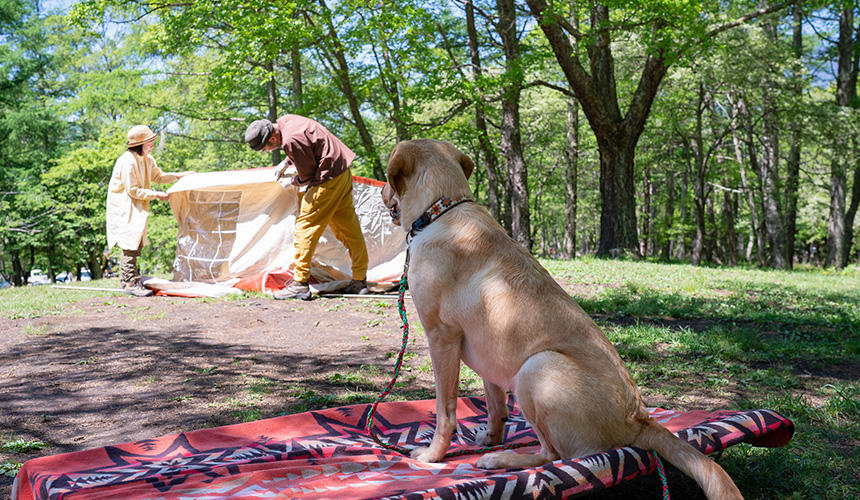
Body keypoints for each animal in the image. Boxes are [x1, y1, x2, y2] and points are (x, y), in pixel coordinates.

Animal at [380, 140, 744, 500]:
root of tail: (638, 418)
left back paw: (501, 460)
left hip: (536, 368)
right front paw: (490, 437)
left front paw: (433, 455)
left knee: (554, 456)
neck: (443, 209)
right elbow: (495, 405)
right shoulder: (486, 352)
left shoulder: (441, 337)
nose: (382, 191)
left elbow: (446, 412)